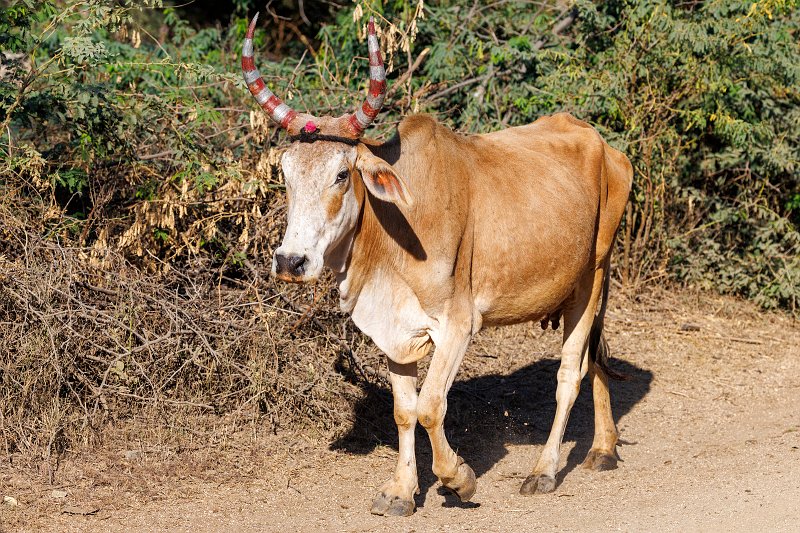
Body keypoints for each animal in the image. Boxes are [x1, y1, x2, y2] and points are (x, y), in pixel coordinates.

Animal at [243, 14, 633, 516]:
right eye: (286, 174)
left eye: (341, 174)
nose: (291, 261)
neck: (395, 227)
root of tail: (606, 147)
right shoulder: (393, 329)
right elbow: (404, 411)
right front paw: (400, 491)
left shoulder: (458, 324)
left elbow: (430, 406)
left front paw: (458, 478)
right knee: (596, 361)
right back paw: (603, 448)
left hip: (593, 275)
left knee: (569, 375)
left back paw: (544, 471)